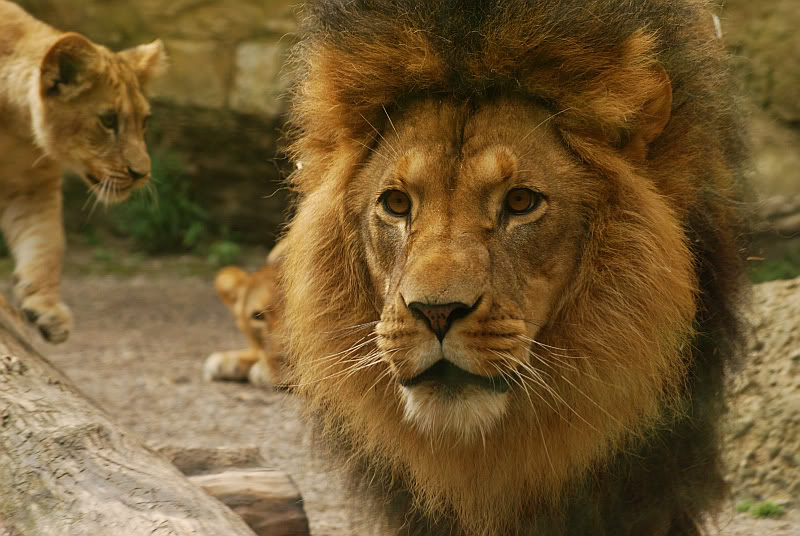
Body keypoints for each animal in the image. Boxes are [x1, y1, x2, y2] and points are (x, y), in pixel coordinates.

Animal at [0, 0, 166, 342]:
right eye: (108, 120)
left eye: (144, 121)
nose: (141, 174)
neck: (16, 129)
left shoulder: (32, 186)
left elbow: (47, 241)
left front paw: (46, 309)